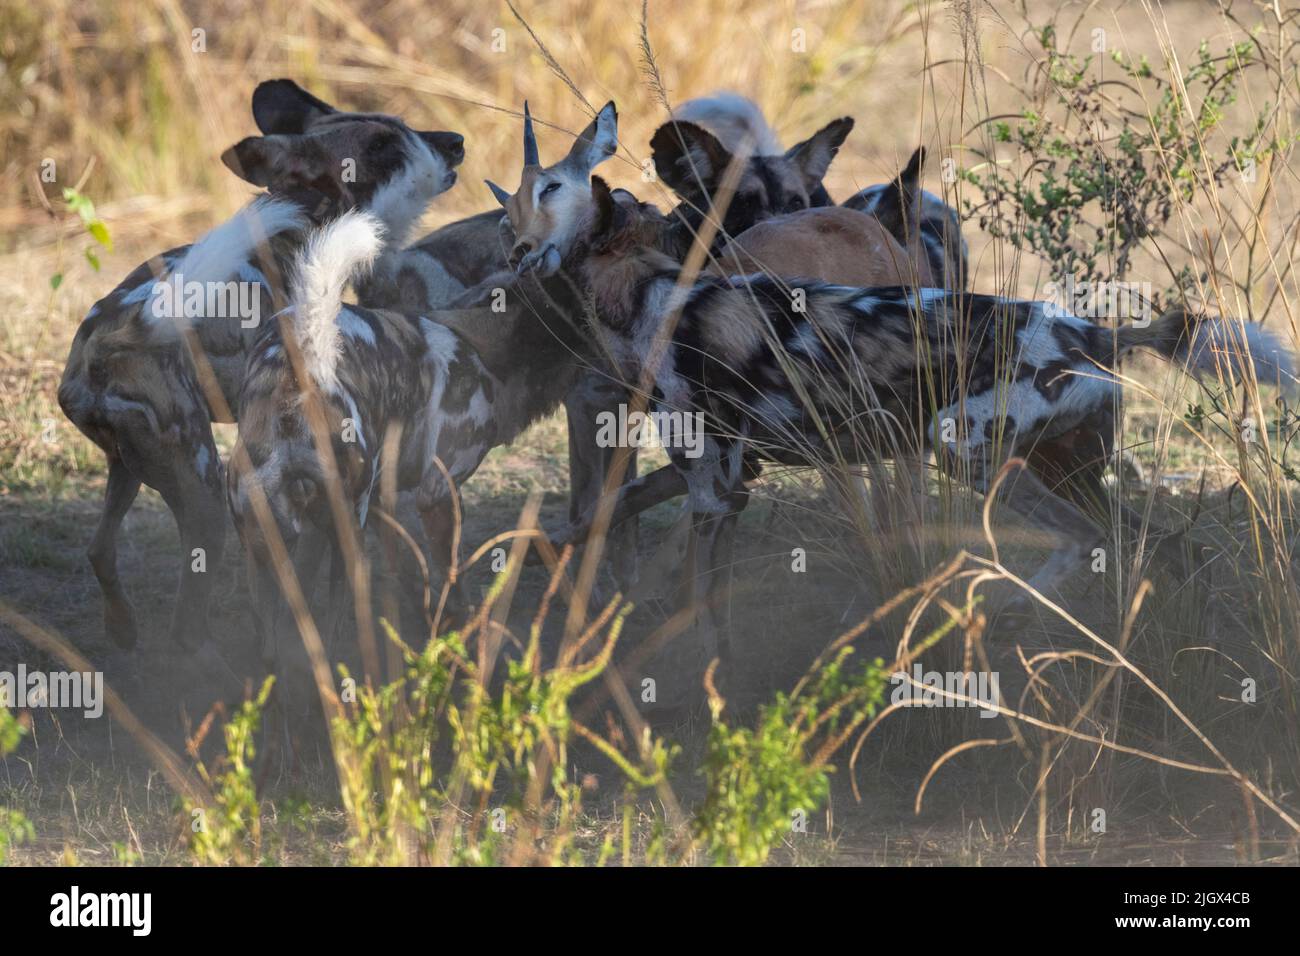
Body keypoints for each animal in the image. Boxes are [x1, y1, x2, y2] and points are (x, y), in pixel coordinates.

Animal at [58, 79, 465, 651]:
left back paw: (124, 630)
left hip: (128, 468)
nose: (455, 142)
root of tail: (105, 338)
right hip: (203, 490)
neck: (311, 209)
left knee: (99, 551)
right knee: (186, 622)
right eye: (383, 145)